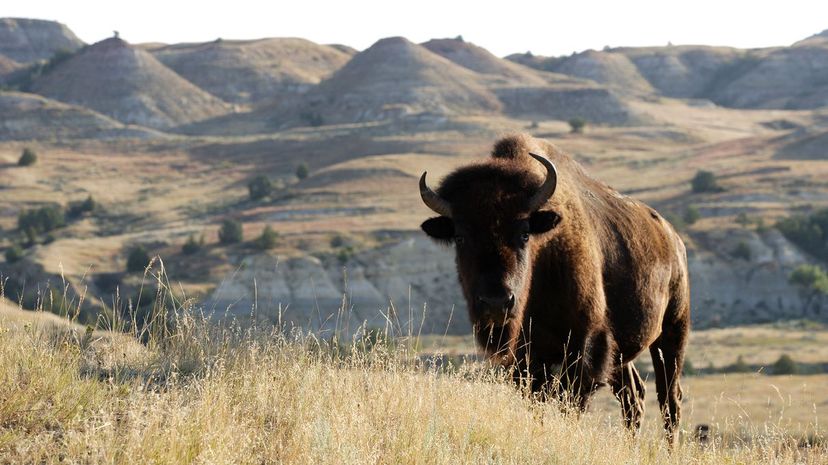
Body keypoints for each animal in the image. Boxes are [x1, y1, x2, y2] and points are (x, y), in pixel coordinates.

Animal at [418, 134, 688, 442]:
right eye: (460, 237)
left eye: (524, 234)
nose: (496, 303)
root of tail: (673, 238)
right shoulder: (528, 361)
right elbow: (539, 403)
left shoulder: (584, 348)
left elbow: (569, 404)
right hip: (623, 353)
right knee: (634, 397)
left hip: (673, 331)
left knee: (669, 399)